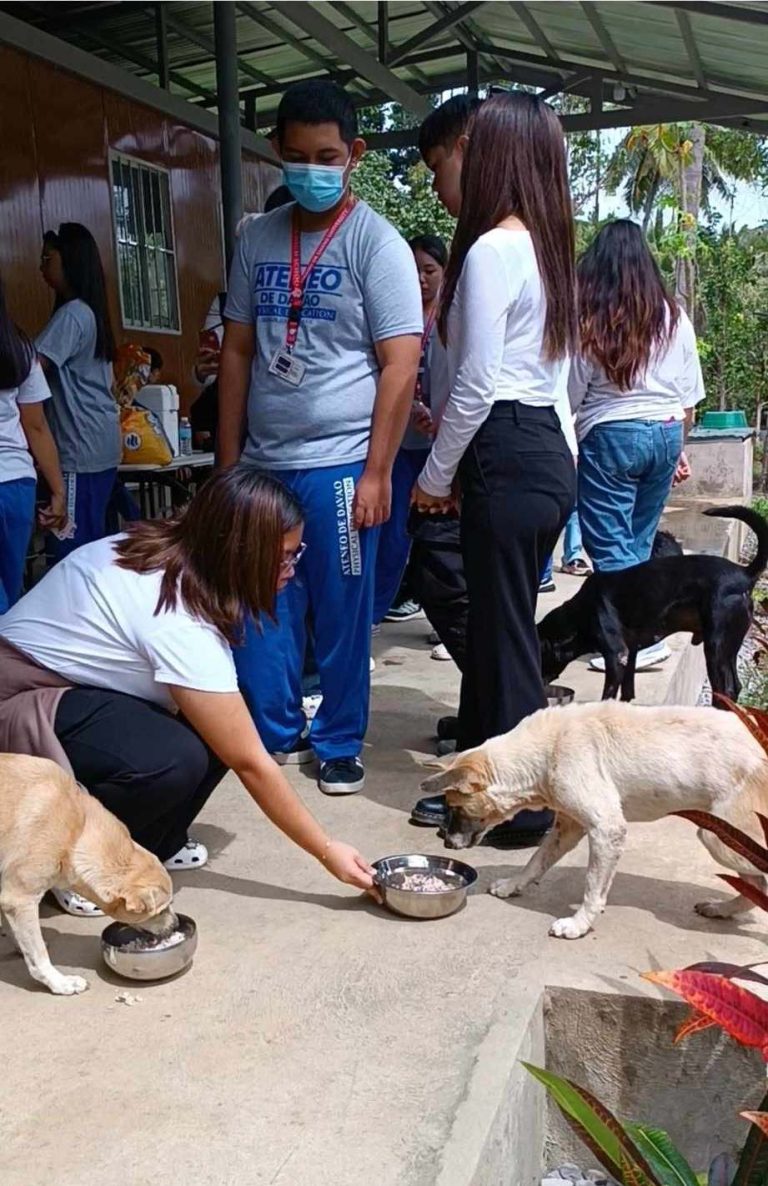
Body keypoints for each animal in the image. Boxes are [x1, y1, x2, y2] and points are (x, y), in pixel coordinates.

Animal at [0, 754, 174, 996]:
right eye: (162, 910)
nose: (175, 925)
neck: (77, 830)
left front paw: (18, 943)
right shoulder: (19, 898)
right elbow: (38, 956)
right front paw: (59, 982)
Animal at [419, 697, 768, 939]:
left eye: (456, 808)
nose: (447, 844)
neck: (547, 749)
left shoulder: (606, 829)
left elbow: (593, 886)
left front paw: (578, 924)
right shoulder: (567, 826)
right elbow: (536, 861)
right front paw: (513, 885)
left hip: (722, 839)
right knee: (754, 887)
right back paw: (722, 909)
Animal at [540, 502, 768, 702]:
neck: (578, 613)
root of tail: (744, 573)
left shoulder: (616, 655)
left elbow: (607, 694)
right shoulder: (630, 651)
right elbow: (627, 689)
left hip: (716, 645)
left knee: (726, 689)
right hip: (729, 647)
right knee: (735, 686)